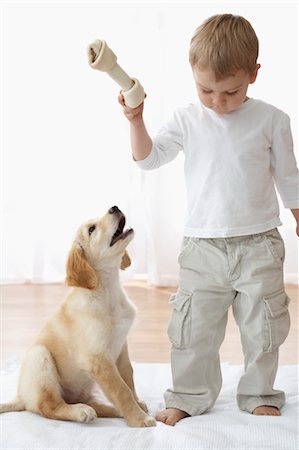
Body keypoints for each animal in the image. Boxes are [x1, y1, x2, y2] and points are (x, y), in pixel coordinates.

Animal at [0, 206, 157, 428]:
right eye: (92, 229)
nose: (114, 207)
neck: (107, 290)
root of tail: (21, 397)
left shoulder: (121, 349)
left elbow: (128, 378)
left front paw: (137, 405)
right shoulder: (97, 358)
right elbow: (121, 390)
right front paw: (139, 418)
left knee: (94, 404)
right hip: (39, 356)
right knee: (49, 406)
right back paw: (80, 411)